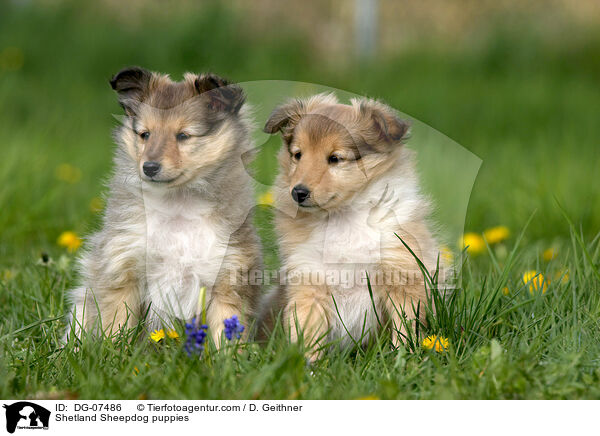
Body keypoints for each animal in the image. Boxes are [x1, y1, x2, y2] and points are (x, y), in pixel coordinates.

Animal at [64, 67, 262, 348]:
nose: (149, 167)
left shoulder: (228, 274)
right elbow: (117, 324)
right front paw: (114, 352)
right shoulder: (123, 266)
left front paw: (229, 358)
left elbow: (226, 331)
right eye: (145, 134)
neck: (177, 205)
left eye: (183, 136)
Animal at [262, 93, 440, 362]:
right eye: (298, 155)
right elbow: (308, 331)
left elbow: (405, 325)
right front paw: (308, 366)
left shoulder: (401, 273)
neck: (342, 217)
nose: (298, 192)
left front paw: (402, 359)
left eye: (335, 158)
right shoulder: (309, 280)